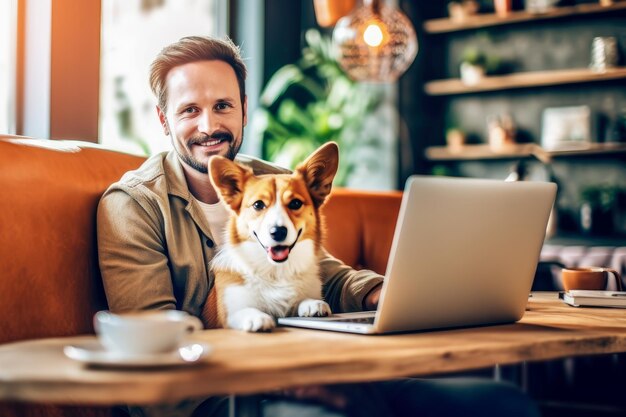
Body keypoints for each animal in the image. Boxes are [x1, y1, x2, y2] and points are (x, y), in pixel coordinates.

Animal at [208, 141, 336, 330]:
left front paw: (312, 304)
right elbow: (243, 311)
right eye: (258, 205)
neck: (276, 272)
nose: (278, 232)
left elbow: (302, 300)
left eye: (295, 203)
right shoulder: (228, 314)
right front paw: (257, 318)